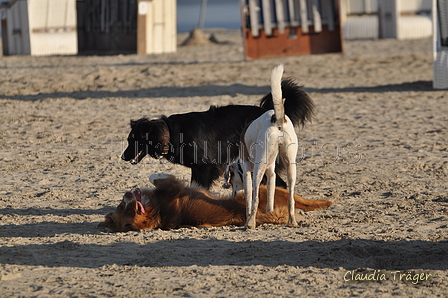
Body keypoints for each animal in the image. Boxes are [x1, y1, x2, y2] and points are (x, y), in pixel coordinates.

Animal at [121, 78, 314, 189]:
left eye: (133, 140)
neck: (171, 133)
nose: (122, 157)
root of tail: (274, 116)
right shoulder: (197, 168)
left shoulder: (206, 167)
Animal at [238, 64, 298, 229]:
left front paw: (248, 219)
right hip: (290, 166)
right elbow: (270, 199)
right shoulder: (271, 174)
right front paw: (270, 215)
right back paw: (292, 221)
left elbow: (249, 200)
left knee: (256, 198)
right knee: (291, 198)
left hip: (259, 169)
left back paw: (250, 224)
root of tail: (277, 118)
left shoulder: (247, 173)